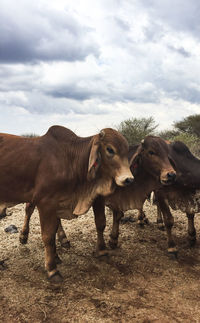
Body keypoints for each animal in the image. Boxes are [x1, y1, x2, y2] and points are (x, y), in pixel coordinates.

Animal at [0, 125, 134, 282]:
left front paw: (102, 251)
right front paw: (52, 270)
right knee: (29, 210)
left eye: (127, 150)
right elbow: (48, 236)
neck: (71, 159)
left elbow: (100, 223)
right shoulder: (46, 203)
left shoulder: (93, 197)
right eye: (110, 149)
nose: (129, 179)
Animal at [19, 135, 177, 256]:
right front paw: (103, 247)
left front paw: (113, 239)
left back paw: (63, 239)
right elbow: (101, 222)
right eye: (151, 152)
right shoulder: (99, 198)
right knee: (29, 208)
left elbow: (118, 215)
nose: (171, 174)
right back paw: (24, 235)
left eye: (168, 153)